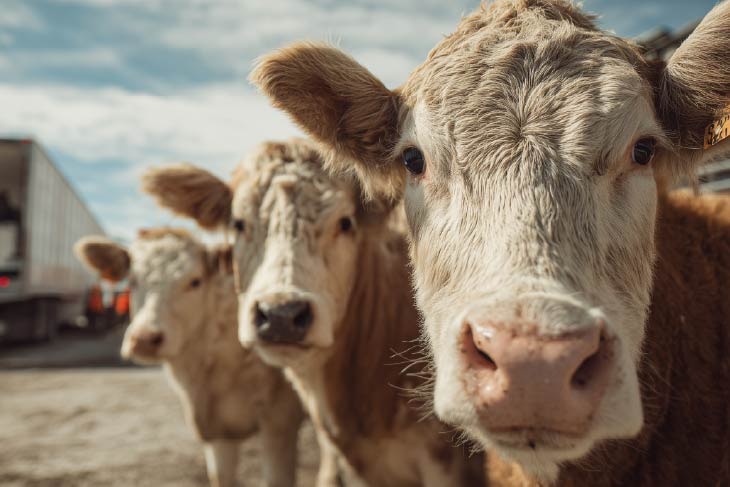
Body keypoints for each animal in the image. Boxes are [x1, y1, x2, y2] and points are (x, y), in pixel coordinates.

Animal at [74, 228, 303, 487]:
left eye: (195, 281)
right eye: (132, 281)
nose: (144, 339)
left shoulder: (280, 425)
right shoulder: (218, 432)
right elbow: (221, 477)